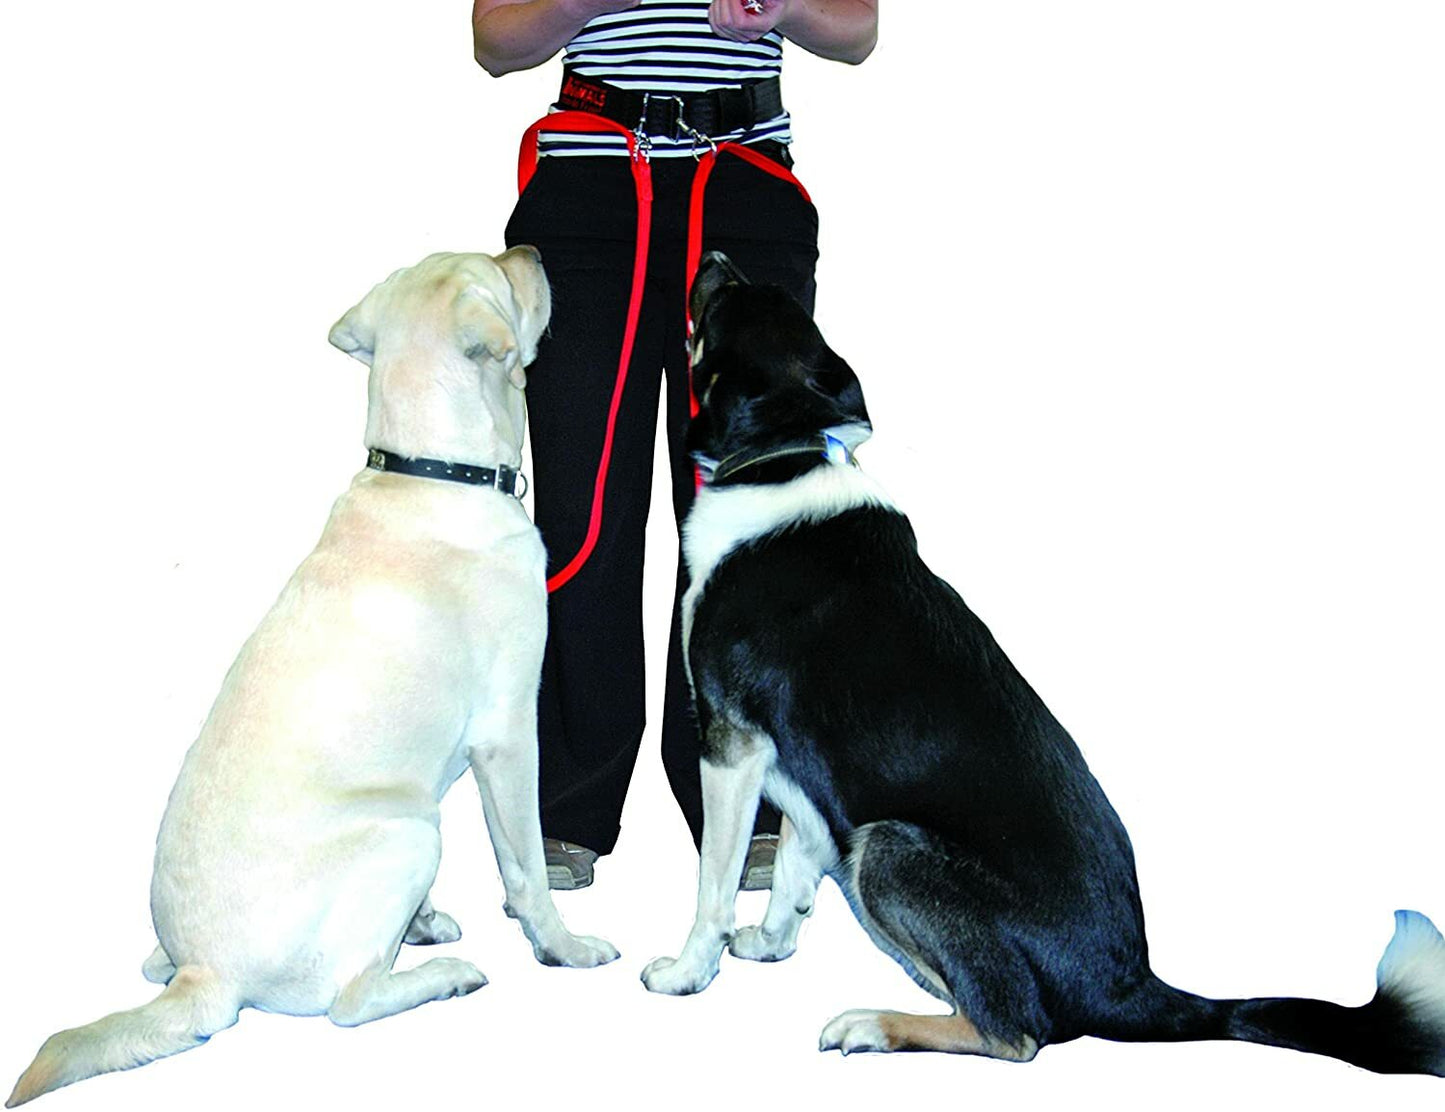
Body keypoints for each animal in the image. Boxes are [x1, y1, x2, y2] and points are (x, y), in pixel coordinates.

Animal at [8, 250, 618, 1108]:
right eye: (497, 274)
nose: (530, 253)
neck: (436, 472)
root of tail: (206, 972)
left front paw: (426, 919)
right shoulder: (507, 736)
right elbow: (526, 868)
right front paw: (564, 947)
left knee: (155, 965)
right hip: (410, 828)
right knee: (349, 1003)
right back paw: (444, 975)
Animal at [639, 250, 1445, 1075]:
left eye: (729, 302)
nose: (714, 257)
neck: (783, 457)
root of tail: (1132, 987)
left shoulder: (730, 742)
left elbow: (714, 880)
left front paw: (685, 973)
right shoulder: (802, 760)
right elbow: (795, 866)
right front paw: (771, 942)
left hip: (887, 847)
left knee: (1016, 1031)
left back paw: (876, 1023)